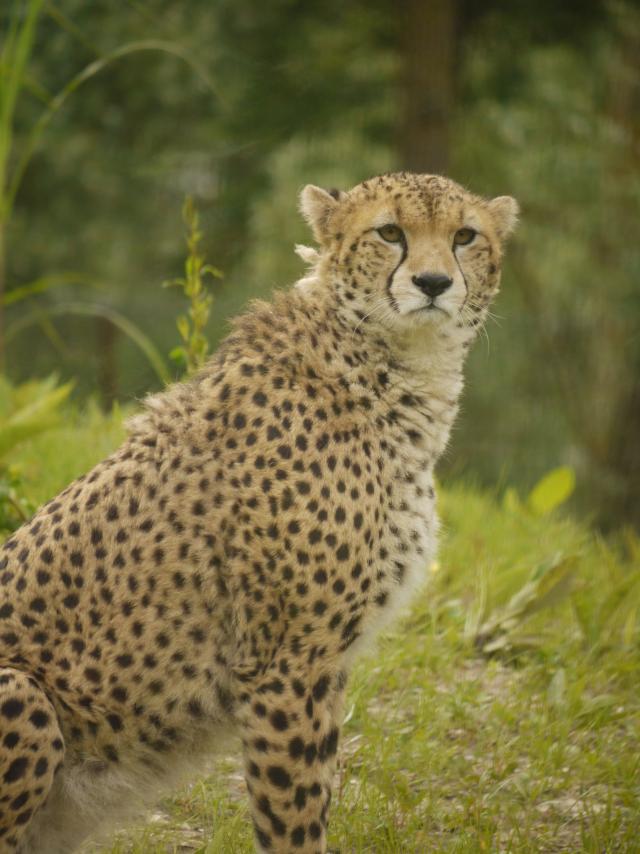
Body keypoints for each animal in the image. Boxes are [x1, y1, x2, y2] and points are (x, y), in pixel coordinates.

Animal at [0, 174, 516, 854]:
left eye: (464, 236)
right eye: (389, 232)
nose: (433, 283)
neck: (389, 368)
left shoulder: (319, 665)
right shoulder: (289, 663)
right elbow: (293, 816)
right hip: (24, 692)